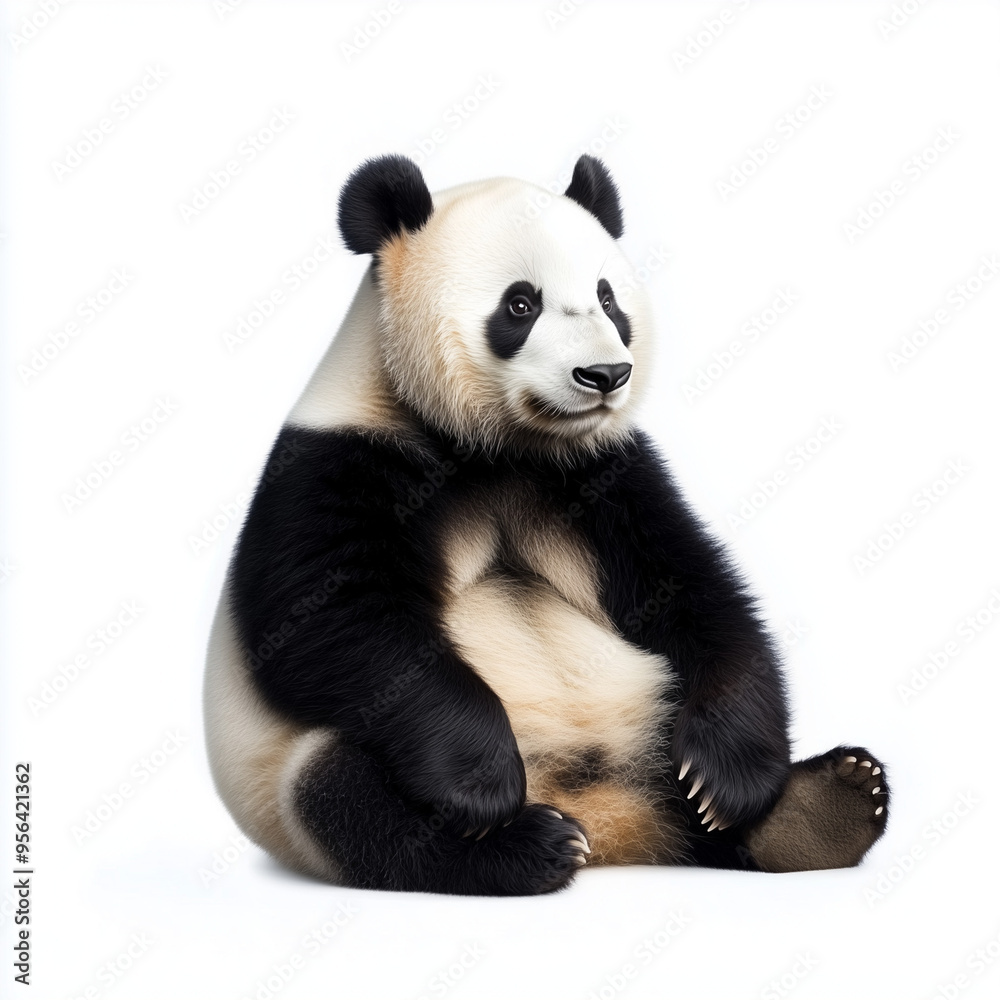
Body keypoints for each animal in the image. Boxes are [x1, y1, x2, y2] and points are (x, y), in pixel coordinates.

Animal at [204, 154, 890, 895]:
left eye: (608, 298)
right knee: (345, 795)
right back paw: (526, 846)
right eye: (520, 304)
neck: (500, 446)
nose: (605, 374)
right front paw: (482, 786)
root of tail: (616, 824)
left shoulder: (603, 474)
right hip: (293, 776)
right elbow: (335, 627)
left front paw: (728, 775)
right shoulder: (336, 463)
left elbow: (693, 588)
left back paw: (825, 805)